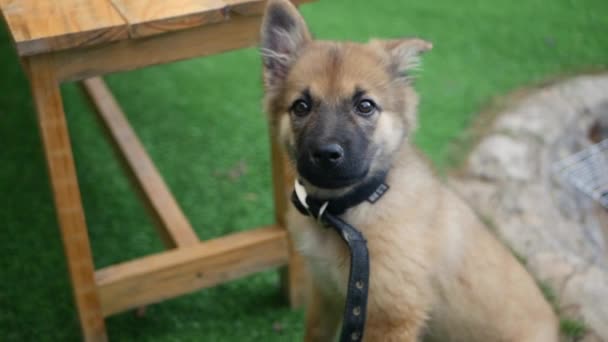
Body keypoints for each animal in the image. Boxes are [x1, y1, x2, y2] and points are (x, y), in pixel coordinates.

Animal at [258, 1, 560, 340]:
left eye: (365, 106)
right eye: (301, 106)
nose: (326, 154)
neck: (346, 214)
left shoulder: (391, 316)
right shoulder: (326, 294)